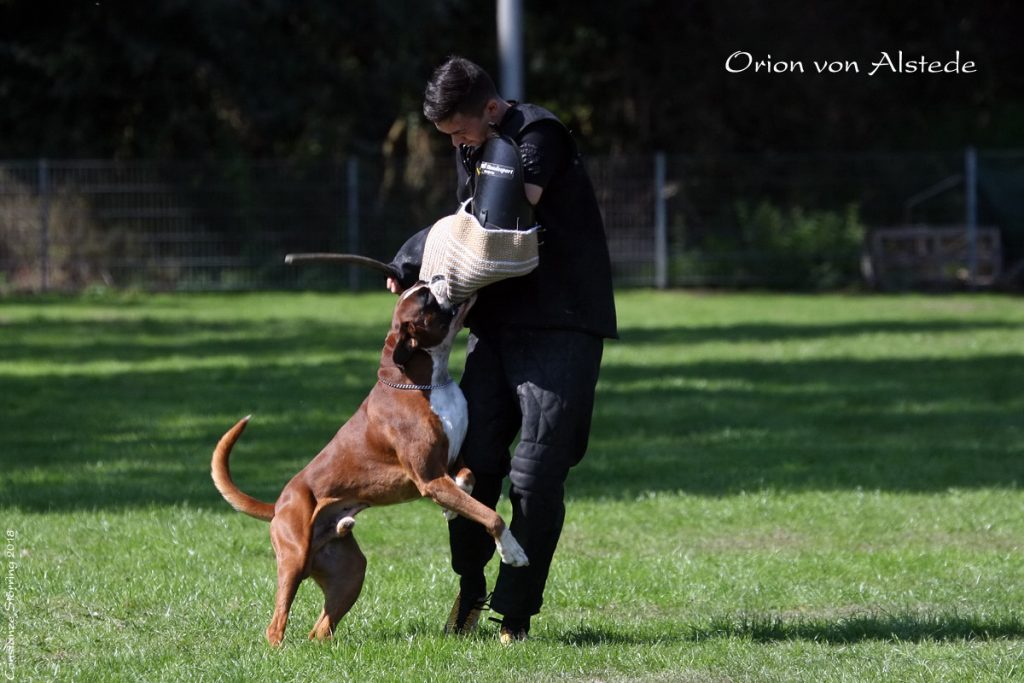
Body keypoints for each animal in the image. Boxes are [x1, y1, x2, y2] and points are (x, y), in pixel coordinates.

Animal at [208, 282, 528, 647]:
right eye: (426, 299)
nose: (435, 279)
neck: (424, 381)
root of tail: (279, 504)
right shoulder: (429, 478)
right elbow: (492, 516)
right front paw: (513, 552)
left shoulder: (448, 464)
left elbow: (468, 477)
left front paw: (451, 509)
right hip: (293, 560)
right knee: (276, 623)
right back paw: (278, 648)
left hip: (349, 572)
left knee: (320, 629)